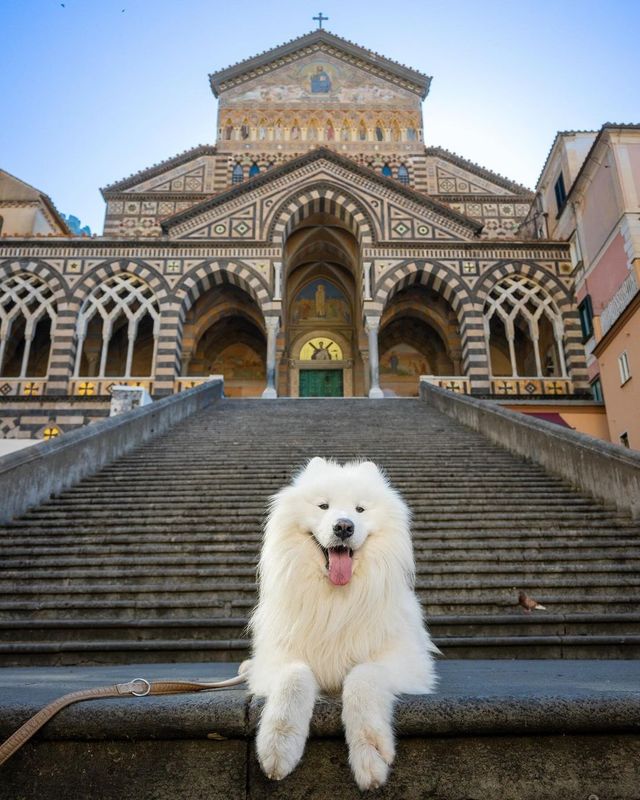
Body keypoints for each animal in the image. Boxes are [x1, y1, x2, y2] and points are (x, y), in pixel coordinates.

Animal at [244, 460, 436, 792]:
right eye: (324, 506)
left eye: (360, 509)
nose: (344, 526)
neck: (336, 601)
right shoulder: (277, 660)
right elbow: (294, 679)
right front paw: (279, 747)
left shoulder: (407, 664)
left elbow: (362, 678)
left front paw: (370, 755)